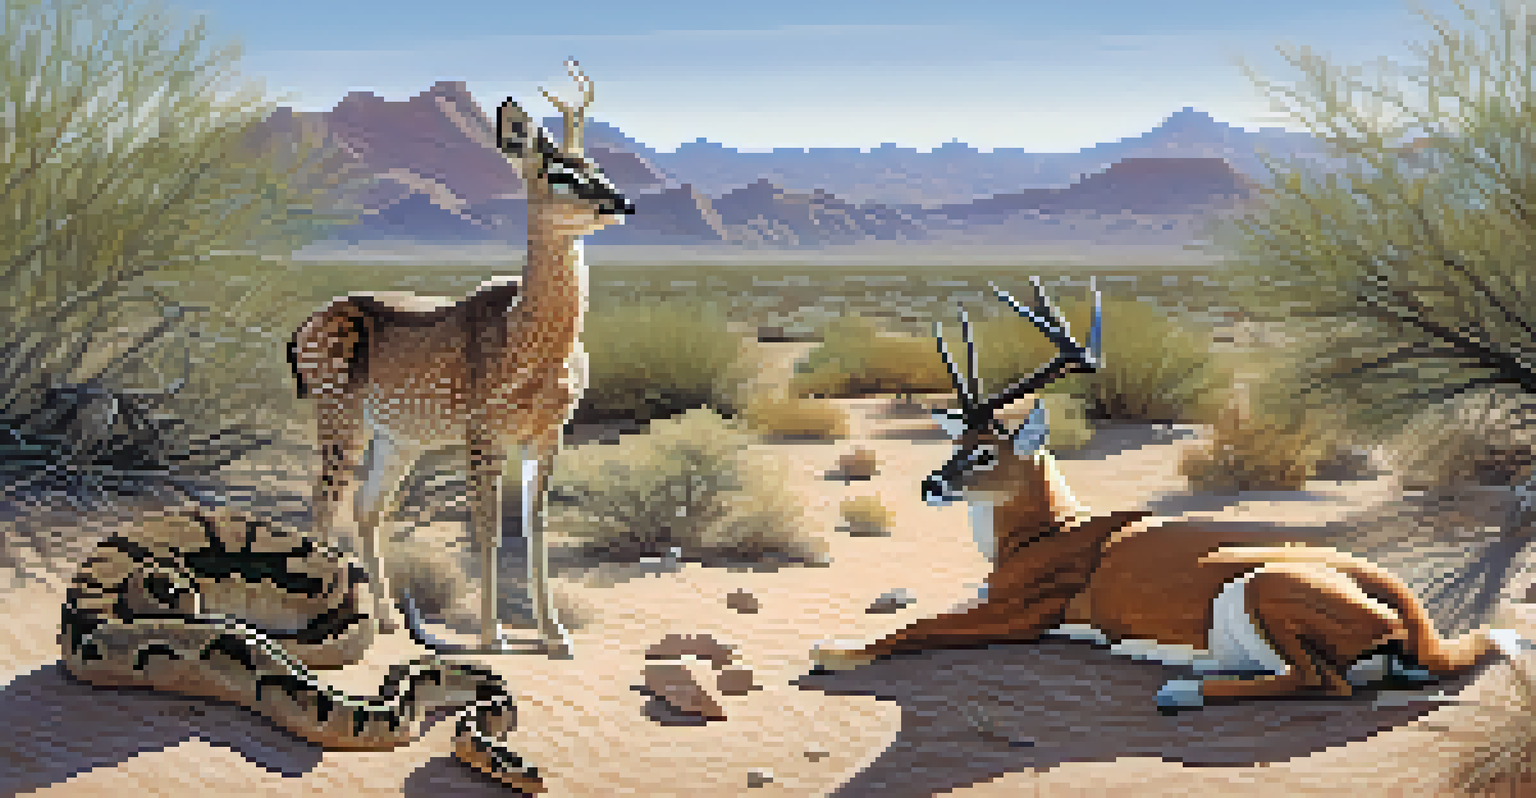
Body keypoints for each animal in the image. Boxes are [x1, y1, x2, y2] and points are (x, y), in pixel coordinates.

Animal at [288, 60, 632, 656]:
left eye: (596, 165)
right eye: (559, 172)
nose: (623, 203)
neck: (530, 345)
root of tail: (305, 327)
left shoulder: (549, 433)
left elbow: (535, 526)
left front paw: (555, 636)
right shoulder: (482, 430)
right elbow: (487, 525)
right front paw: (493, 637)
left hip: (398, 439)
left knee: (366, 507)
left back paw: (386, 619)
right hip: (340, 417)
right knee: (323, 502)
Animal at [810, 278, 1529, 711]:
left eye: (987, 451)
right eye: (957, 442)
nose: (930, 483)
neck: (1049, 533)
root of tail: (1419, 622)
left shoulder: (1023, 615)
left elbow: (918, 626)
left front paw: (832, 651)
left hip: (1259, 588)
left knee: (1320, 682)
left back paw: (1180, 689)